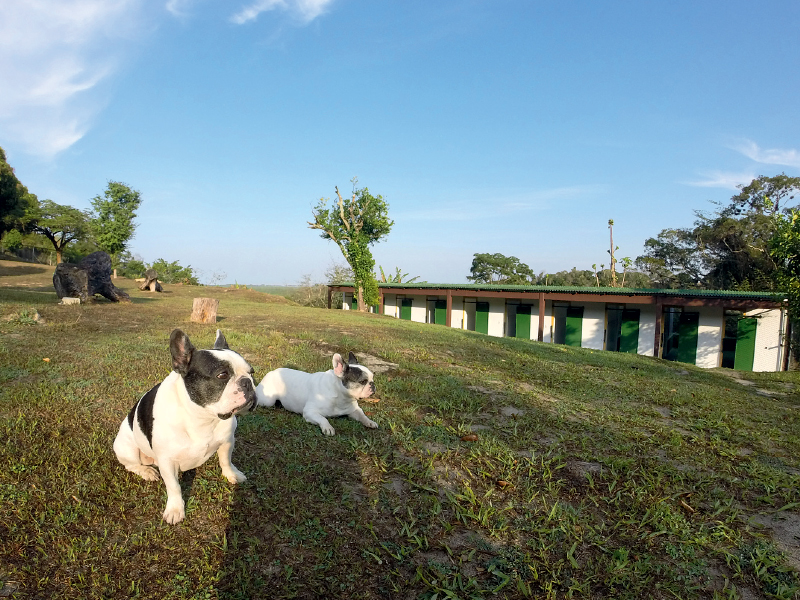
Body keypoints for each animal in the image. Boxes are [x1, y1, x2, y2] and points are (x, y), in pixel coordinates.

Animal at [112, 330, 255, 524]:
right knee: (132, 465)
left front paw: (232, 474)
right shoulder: (167, 461)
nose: (248, 382)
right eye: (222, 375)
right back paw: (146, 471)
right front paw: (175, 509)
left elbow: (226, 460)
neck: (202, 417)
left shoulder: (227, 441)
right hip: (126, 447)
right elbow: (174, 486)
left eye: (252, 372)